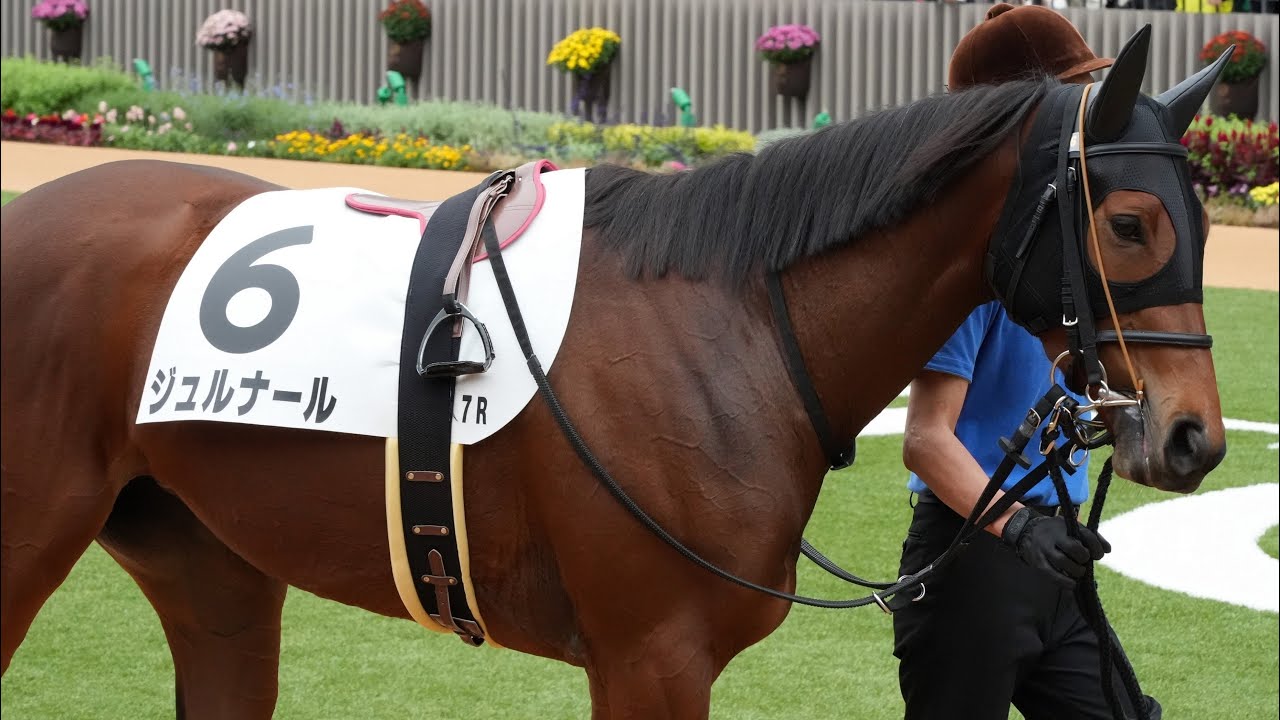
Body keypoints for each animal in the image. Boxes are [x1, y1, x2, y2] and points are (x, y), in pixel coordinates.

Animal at [1, 27, 1229, 719]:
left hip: (208, 559)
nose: (1194, 436)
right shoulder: (650, 660)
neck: (738, 324)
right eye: (1128, 222)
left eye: (1206, 218)